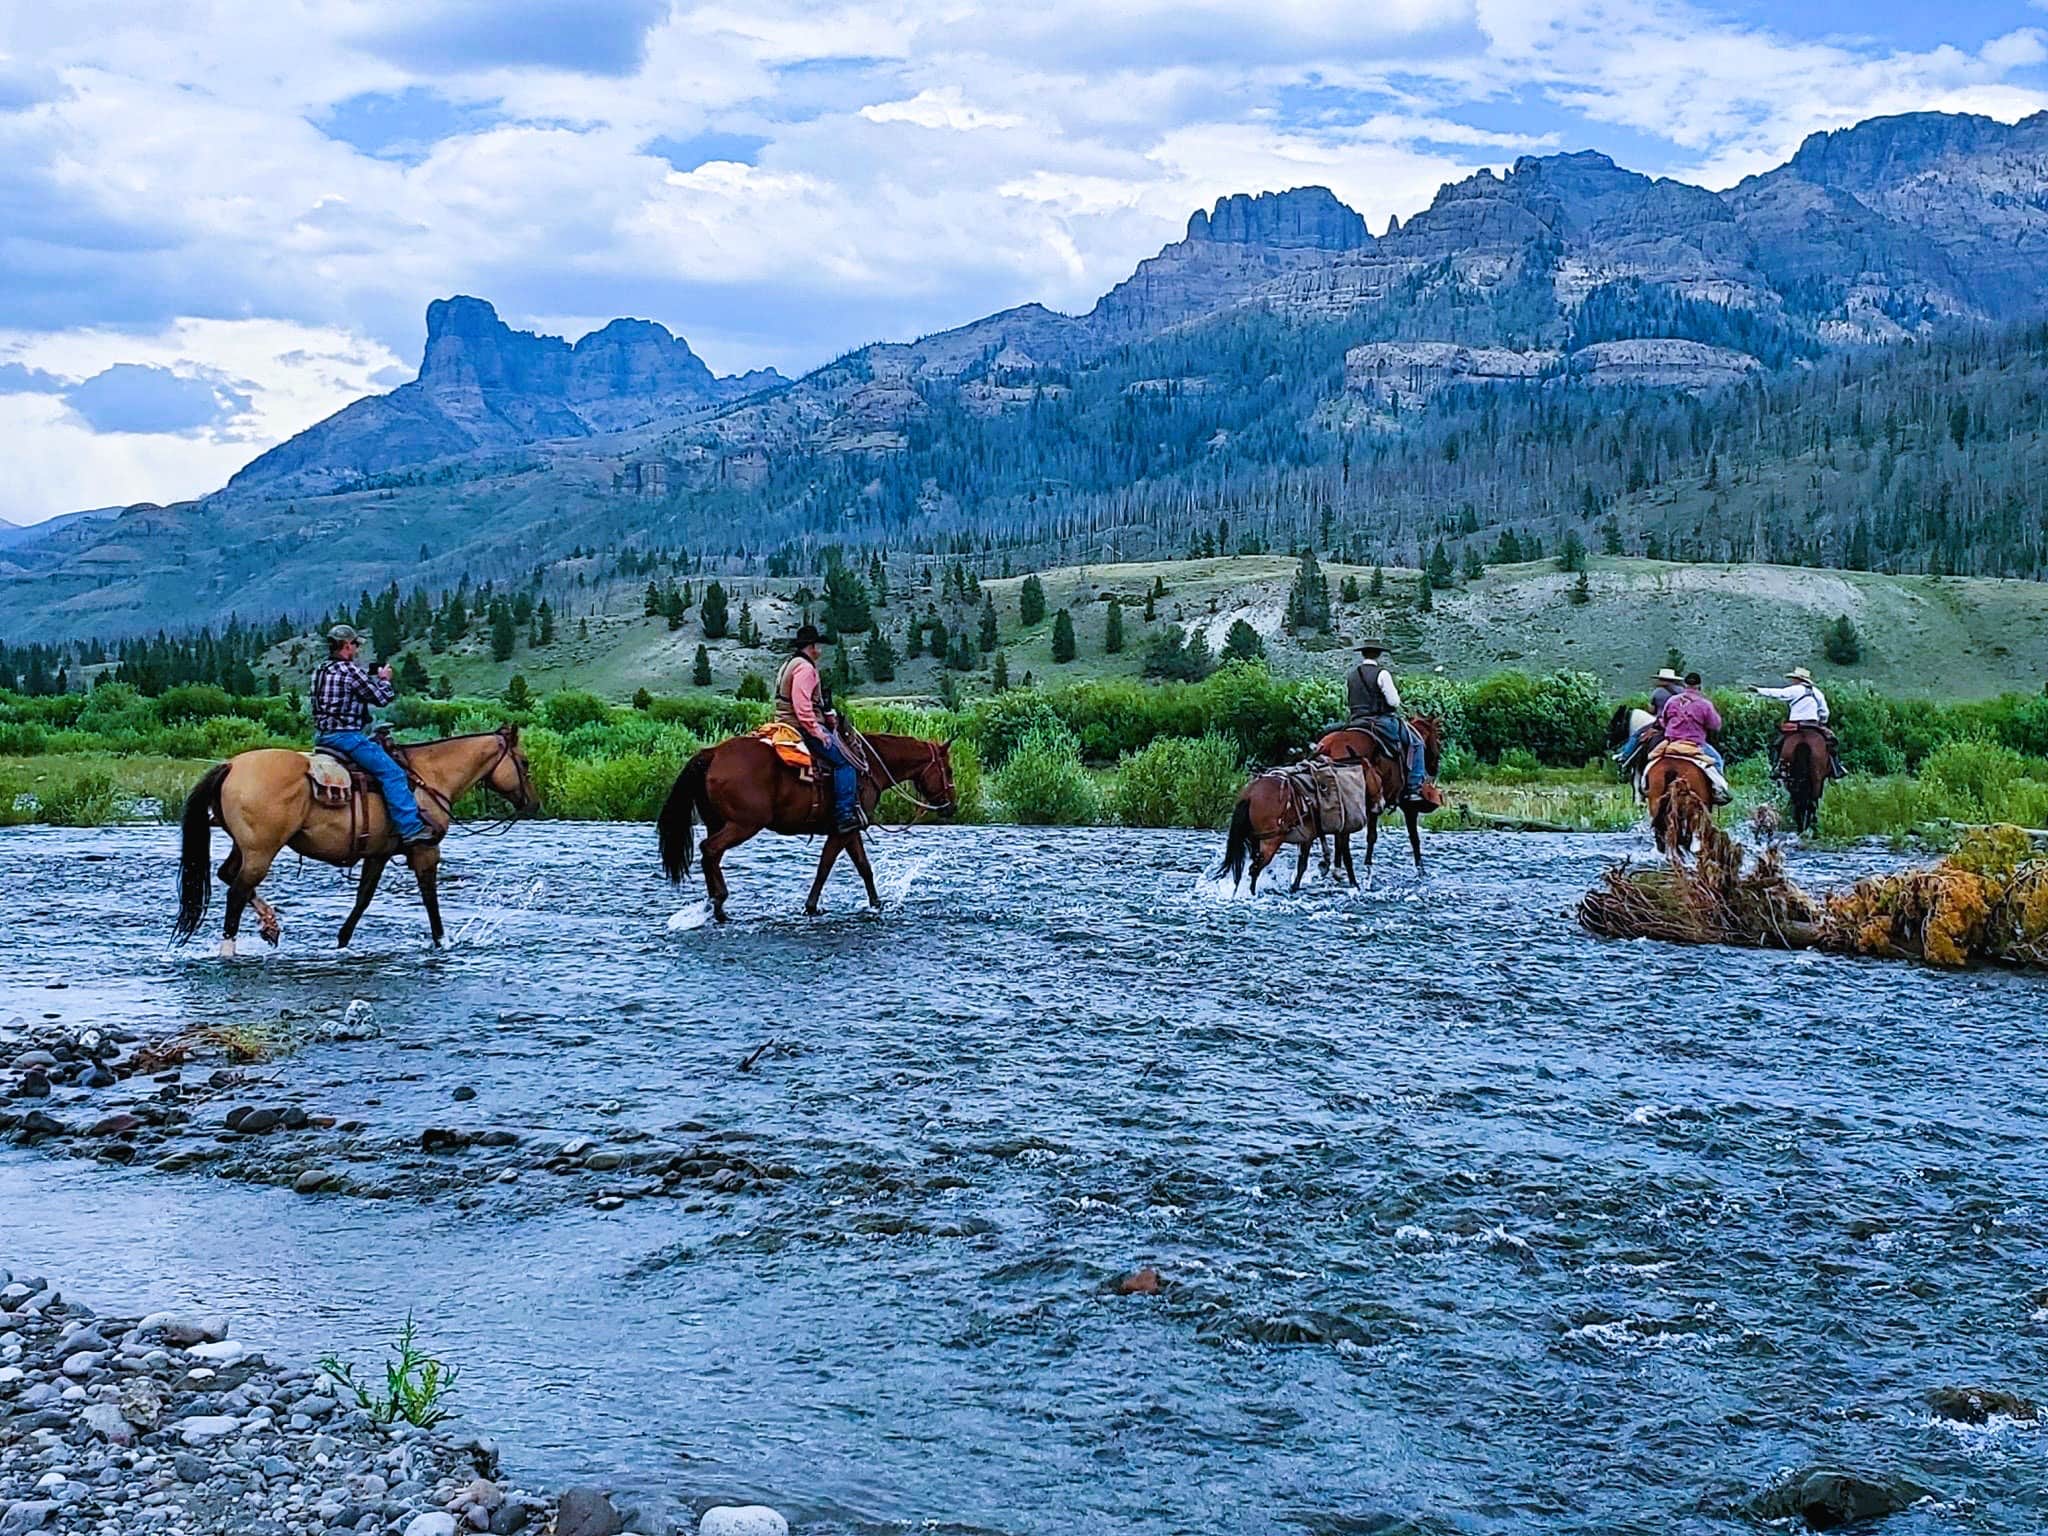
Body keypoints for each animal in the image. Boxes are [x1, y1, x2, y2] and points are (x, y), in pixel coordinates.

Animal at [173, 725, 540, 954]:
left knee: (227, 876)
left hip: (244, 847)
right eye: (524, 762)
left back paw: (271, 925)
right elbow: (430, 900)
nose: (533, 804)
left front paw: (342, 940)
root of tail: (231, 766)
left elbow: (363, 899)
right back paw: (231, 949)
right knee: (237, 891)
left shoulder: (377, 853)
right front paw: (442, 942)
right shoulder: (426, 850)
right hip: (262, 850)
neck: (429, 777)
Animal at [657, 730, 956, 921]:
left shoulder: (850, 830)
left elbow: (864, 868)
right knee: (709, 849)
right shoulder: (843, 830)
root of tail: (713, 753)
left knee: (712, 855)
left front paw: (876, 905)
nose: (952, 806)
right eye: (949, 770)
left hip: (718, 822)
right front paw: (811, 907)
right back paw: (719, 904)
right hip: (744, 825)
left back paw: (713, 905)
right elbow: (825, 867)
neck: (869, 766)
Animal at [1312, 716, 1444, 875]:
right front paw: (1420, 868)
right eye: (1438, 740)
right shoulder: (1407, 808)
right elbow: (1411, 837)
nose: (1435, 768)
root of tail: (1327, 747)